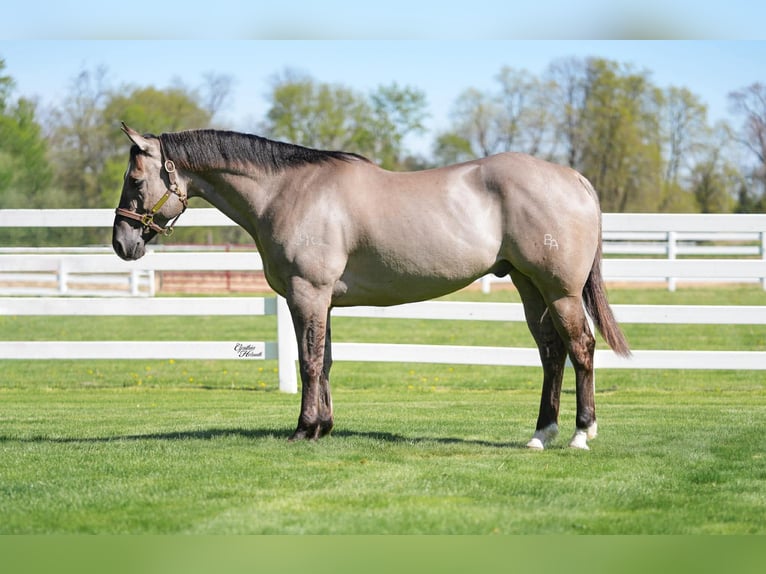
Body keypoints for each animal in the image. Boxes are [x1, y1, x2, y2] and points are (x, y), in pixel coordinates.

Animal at [112, 123, 630, 450]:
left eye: (135, 179)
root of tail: (574, 178)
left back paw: (581, 434)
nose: (121, 242)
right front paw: (324, 427)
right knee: (551, 352)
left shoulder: (307, 293)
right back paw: (542, 434)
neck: (287, 192)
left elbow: (309, 361)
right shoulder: (323, 300)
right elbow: (325, 362)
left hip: (559, 291)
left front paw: (303, 430)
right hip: (528, 286)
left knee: (581, 348)